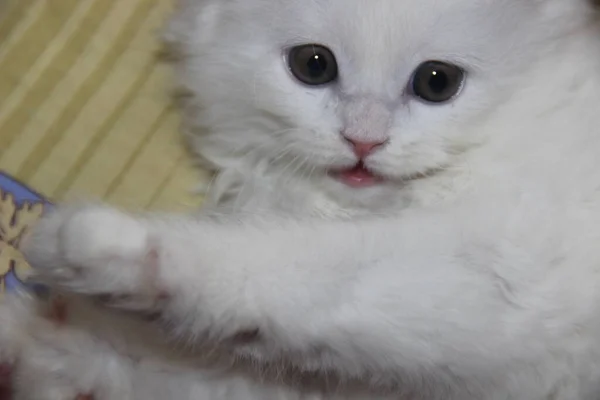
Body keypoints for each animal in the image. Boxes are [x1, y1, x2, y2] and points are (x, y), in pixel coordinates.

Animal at [1, 0, 600, 398]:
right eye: (314, 65)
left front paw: (92, 249)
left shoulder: (504, 281)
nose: (364, 141)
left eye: (437, 82)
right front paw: (40, 342)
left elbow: (279, 270)